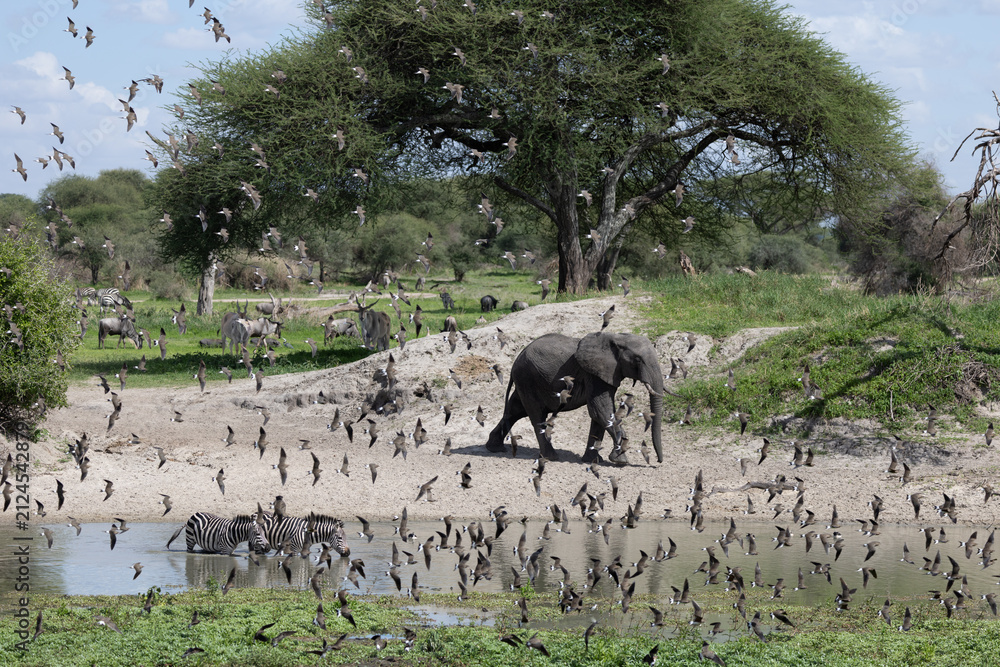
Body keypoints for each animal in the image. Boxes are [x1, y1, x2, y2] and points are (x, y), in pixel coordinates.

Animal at [485, 332, 664, 463]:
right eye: (638, 360)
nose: (659, 461)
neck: (616, 337)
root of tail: (516, 360)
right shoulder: (594, 375)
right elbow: (600, 410)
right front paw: (620, 460)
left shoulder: (605, 374)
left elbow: (599, 415)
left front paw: (593, 461)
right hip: (528, 378)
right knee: (536, 414)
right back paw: (551, 457)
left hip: (526, 381)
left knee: (515, 410)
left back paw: (494, 448)